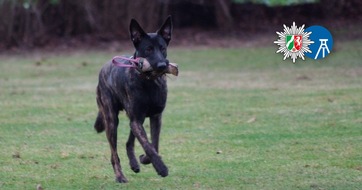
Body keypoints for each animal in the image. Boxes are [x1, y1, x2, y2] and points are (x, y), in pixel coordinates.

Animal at [93, 16, 173, 183]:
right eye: (148, 49)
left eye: (162, 48)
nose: (162, 65)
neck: (148, 82)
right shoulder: (136, 120)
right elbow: (148, 145)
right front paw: (161, 168)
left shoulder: (155, 117)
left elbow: (154, 144)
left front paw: (145, 159)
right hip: (112, 121)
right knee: (114, 154)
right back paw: (120, 176)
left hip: (135, 119)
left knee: (128, 142)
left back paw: (134, 163)